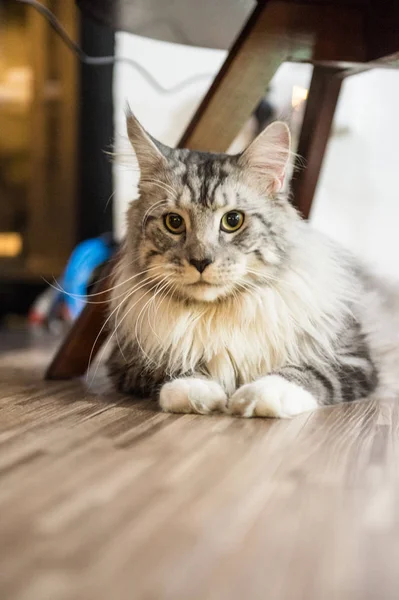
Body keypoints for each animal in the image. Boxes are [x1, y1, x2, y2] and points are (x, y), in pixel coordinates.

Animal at [106, 111, 399, 418]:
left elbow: (306, 373)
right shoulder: (127, 361)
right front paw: (197, 391)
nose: (200, 261)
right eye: (173, 222)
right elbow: (175, 369)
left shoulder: (352, 357)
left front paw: (259, 396)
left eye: (233, 220)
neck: (217, 315)